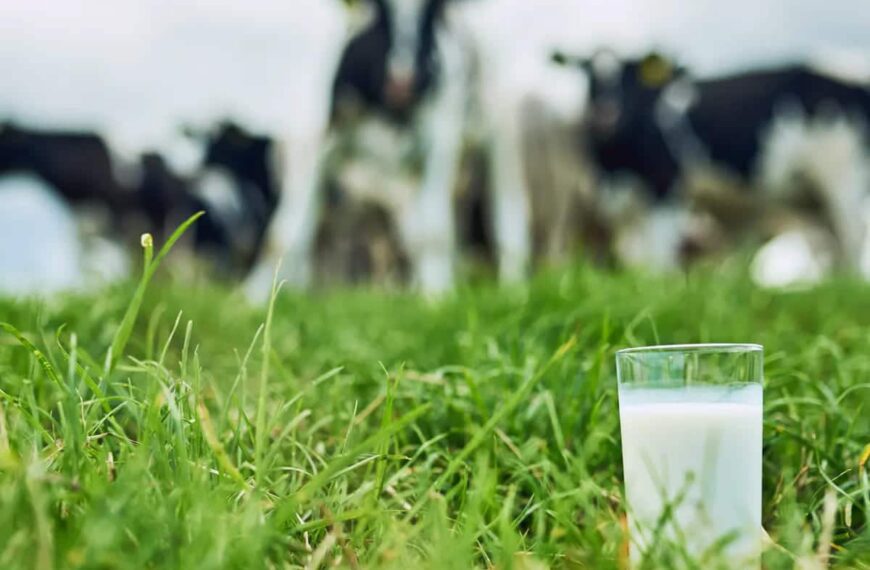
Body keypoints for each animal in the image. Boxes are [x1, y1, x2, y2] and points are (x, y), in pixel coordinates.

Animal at [245, 0, 532, 298]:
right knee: (415, 230)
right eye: (380, 12)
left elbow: (434, 230)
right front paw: (253, 296)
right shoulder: (316, 141)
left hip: (500, 128)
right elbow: (284, 234)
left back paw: (514, 287)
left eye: (431, 12)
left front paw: (437, 296)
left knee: (508, 209)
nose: (402, 82)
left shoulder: (441, 139)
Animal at [556, 50, 870, 272]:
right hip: (814, 199)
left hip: (844, 177)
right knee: (836, 245)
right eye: (587, 75)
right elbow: (635, 257)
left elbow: (657, 258)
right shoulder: (622, 209)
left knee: (853, 236)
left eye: (629, 75)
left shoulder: (667, 190)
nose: (605, 114)